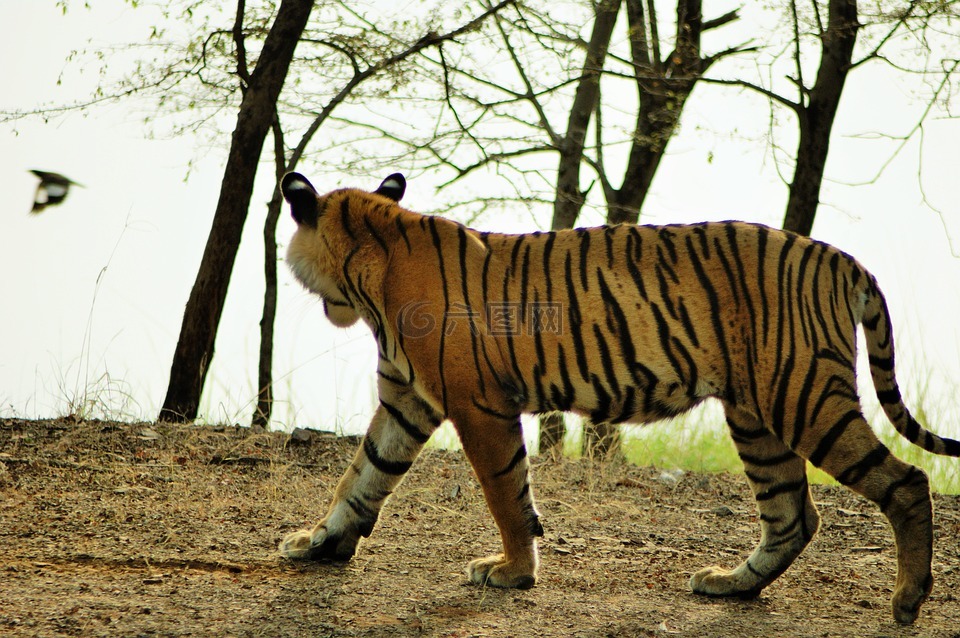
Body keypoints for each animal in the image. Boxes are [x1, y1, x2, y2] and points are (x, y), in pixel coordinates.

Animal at [278, 170, 960, 624]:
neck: (373, 265)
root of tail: (843, 260)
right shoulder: (405, 401)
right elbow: (361, 475)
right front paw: (320, 542)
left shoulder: (478, 406)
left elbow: (506, 494)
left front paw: (512, 573)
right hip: (757, 415)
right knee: (792, 514)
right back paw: (731, 585)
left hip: (804, 397)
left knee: (905, 481)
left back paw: (907, 600)